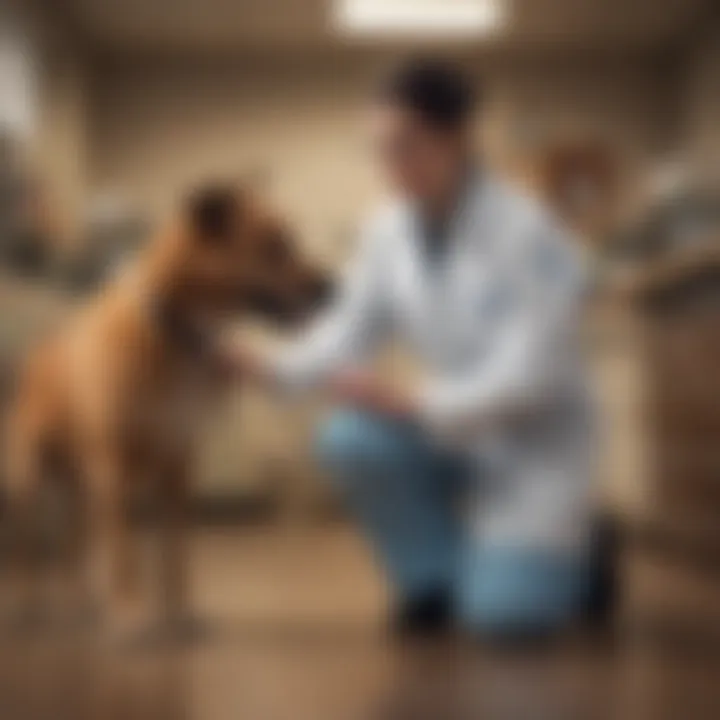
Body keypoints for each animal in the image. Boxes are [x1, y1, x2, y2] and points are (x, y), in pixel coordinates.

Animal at [2, 183, 330, 640]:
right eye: (273, 246)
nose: (332, 287)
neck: (175, 332)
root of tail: (33, 359)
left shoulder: (177, 468)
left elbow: (176, 553)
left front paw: (178, 612)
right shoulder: (113, 469)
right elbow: (124, 554)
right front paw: (128, 614)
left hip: (79, 489)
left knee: (72, 546)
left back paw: (80, 600)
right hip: (28, 482)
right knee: (26, 550)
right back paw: (28, 604)